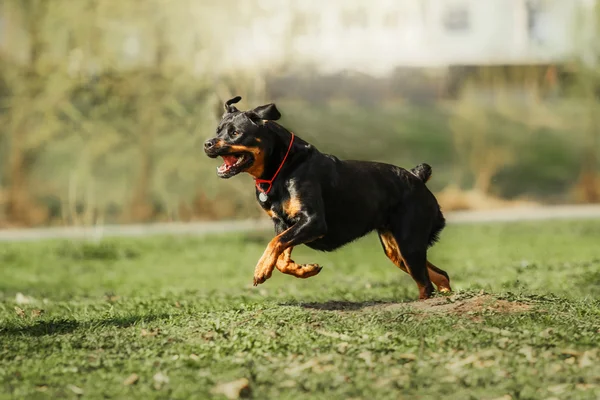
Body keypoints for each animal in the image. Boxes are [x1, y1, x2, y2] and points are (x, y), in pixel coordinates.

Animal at [205, 95, 450, 298]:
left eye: (235, 133)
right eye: (218, 130)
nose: (207, 143)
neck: (282, 168)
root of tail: (416, 177)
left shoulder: (313, 221)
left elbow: (274, 243)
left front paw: (261, 269)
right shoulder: (284, 223)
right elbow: (281, 255)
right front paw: (305, 270)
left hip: (409, 243)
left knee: (426, 284)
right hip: (395, 249)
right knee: (440, 275)